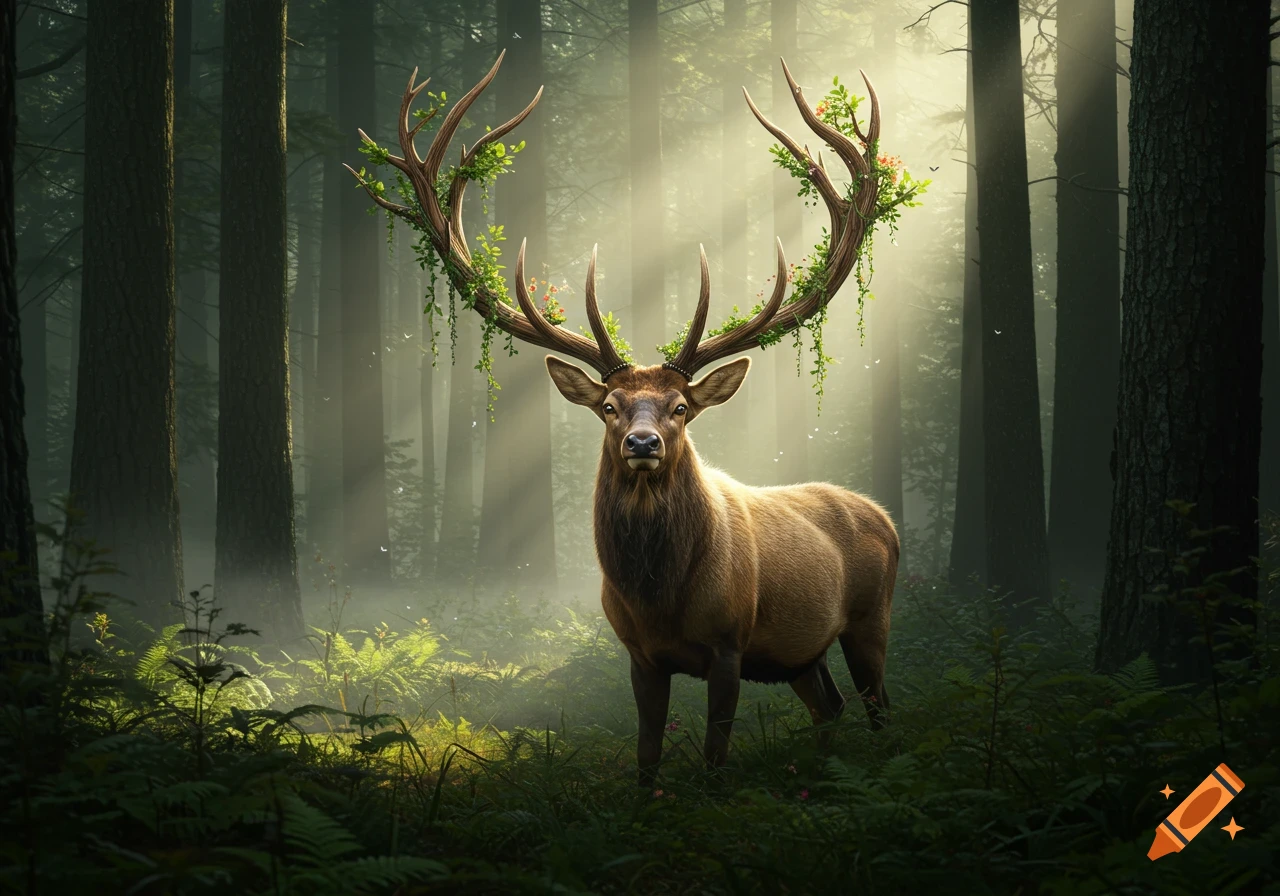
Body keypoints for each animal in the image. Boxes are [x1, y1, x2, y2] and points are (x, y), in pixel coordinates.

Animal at [347, 53, 899, 785]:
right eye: (608, 407)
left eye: (681, 408)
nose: (642, 442)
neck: (659, 599)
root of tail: (885, 517)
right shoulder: (638, 655)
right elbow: (645, 753)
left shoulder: (730, 643)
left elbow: (715, 753)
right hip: (798, 655)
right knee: (829, 706)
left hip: (871, 618)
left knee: (880, 706)